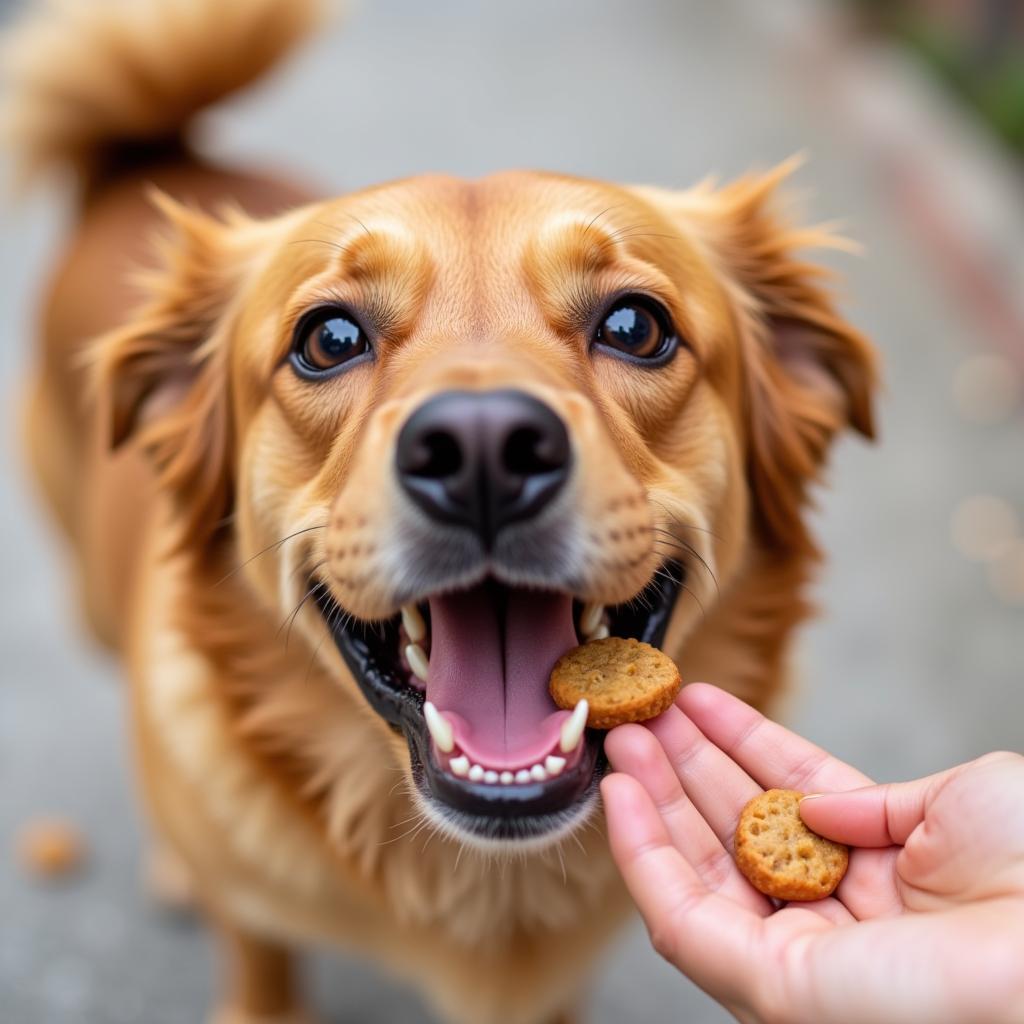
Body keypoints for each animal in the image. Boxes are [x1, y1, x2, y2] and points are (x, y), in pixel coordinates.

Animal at [4, 2, 876, 1024]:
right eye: (328, 339)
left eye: (636, 326)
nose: (485, 450)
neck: (482, 885)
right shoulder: (257, 923)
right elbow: (256, 954)